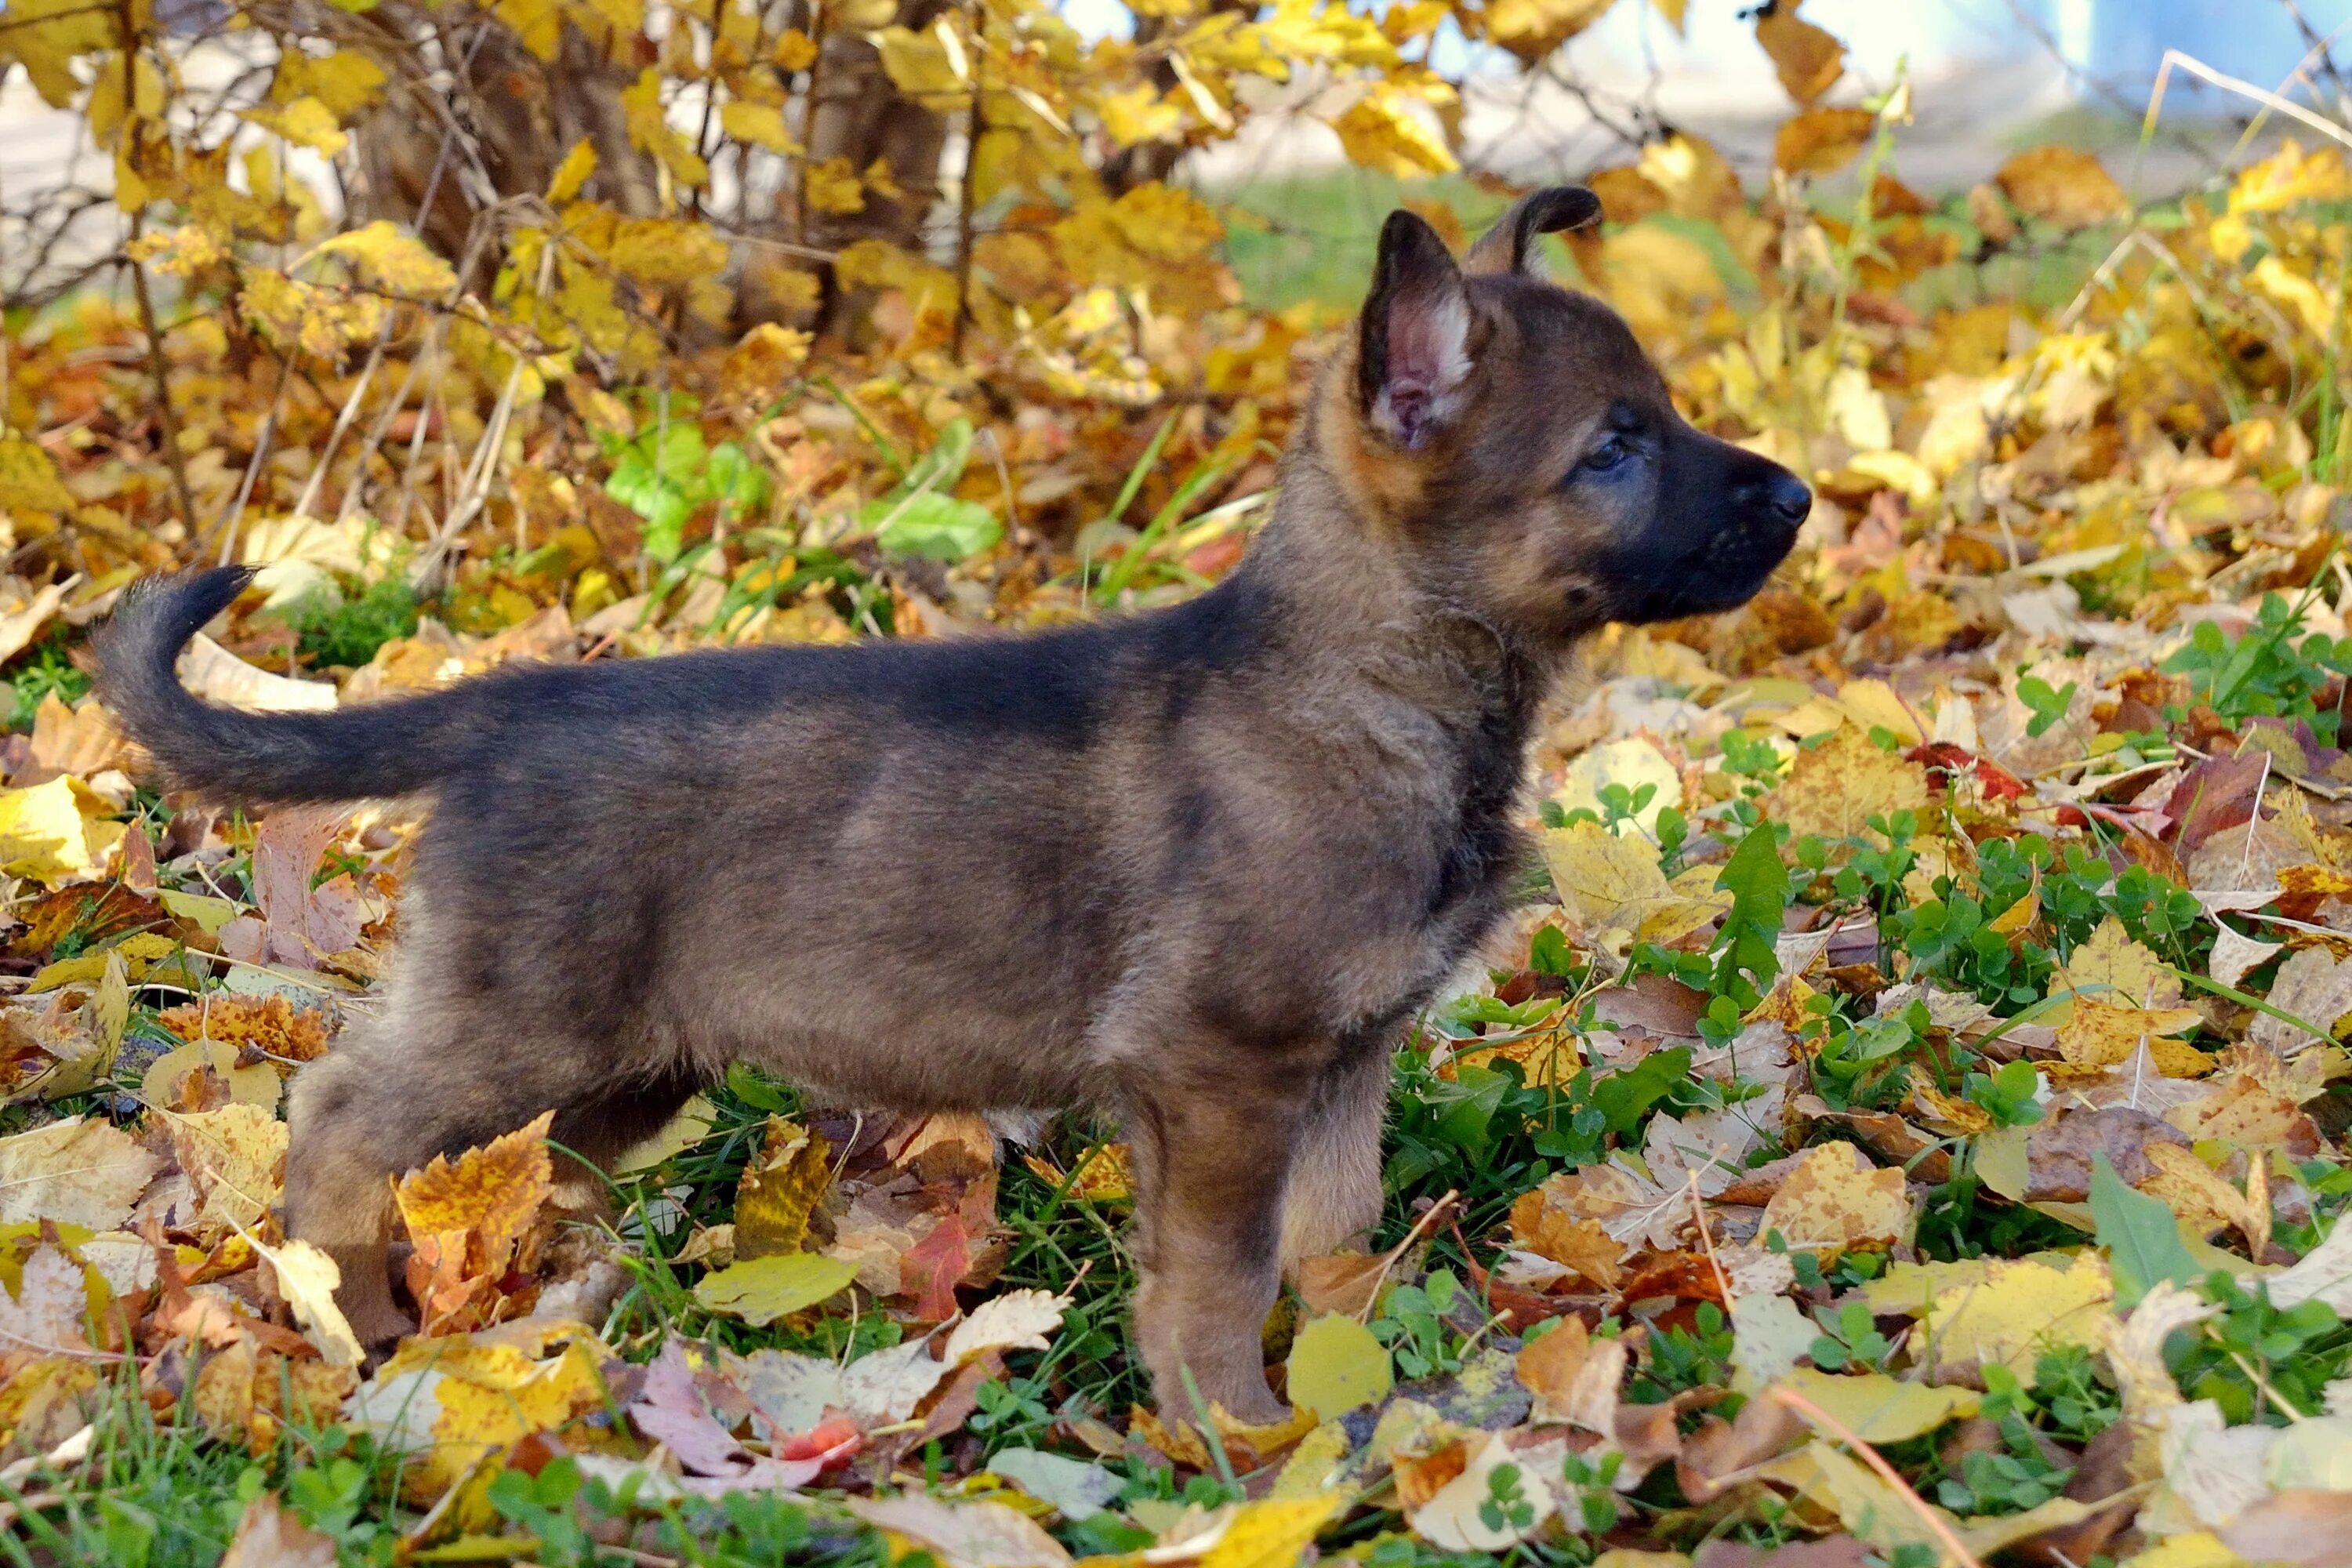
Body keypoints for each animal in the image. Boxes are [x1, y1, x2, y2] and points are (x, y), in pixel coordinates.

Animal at [101, 190, 1797, 1429]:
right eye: (1615, 447)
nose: (1797, 500)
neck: (1375, 682)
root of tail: (509, 700)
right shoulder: (1224, 1070)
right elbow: (1217, 1277)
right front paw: (1238, 1438)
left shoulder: (1343, 1064)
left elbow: (1331, 1242)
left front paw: (1338, 1403)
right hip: (521, 1020)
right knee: (339, 1121)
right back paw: (362, 1318)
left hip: (631, 1061)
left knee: (530, 1165)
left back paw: (560, 1300)